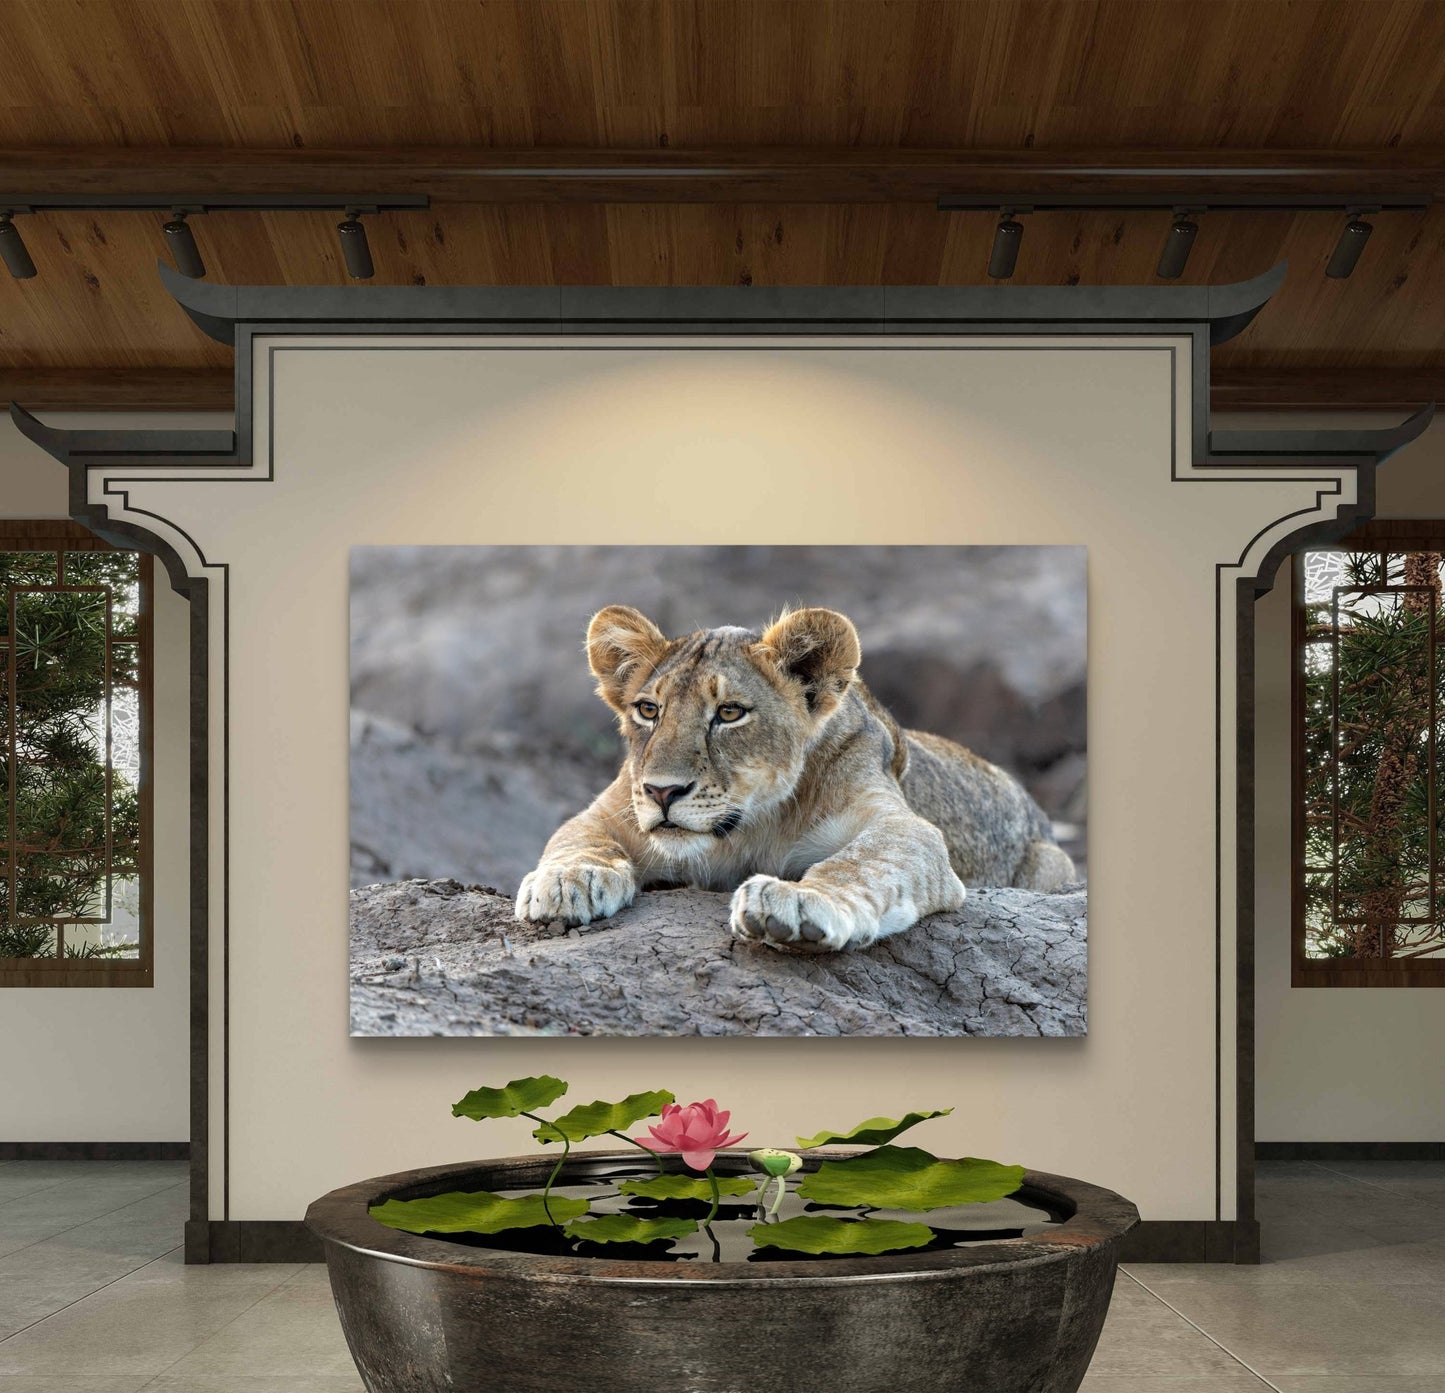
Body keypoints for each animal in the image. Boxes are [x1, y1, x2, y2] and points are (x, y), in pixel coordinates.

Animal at [515, 605, 1077, 951]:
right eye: (648, 710)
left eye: (730, 713)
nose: (662, 791)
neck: (748, 829)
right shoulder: (613, 808)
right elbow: (574, 836)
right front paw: (568, 881)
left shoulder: (904, 826)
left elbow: (860, 862)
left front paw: (802, 900)